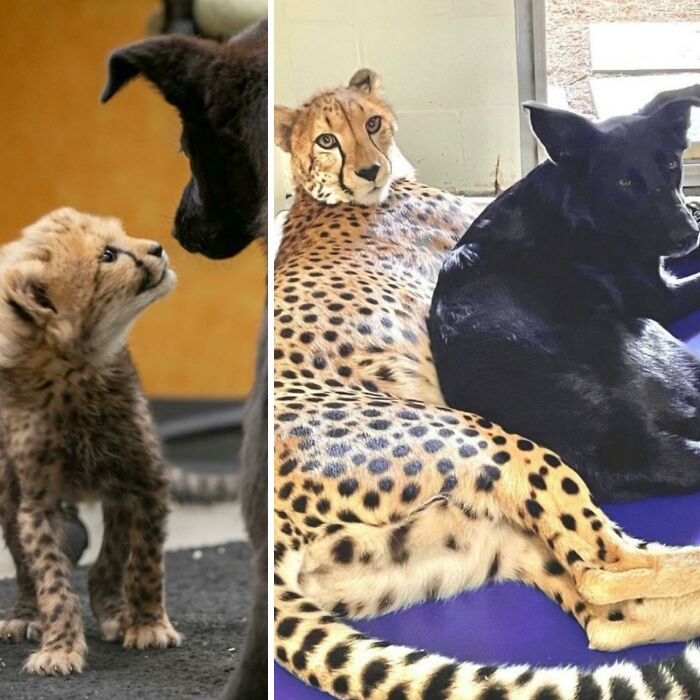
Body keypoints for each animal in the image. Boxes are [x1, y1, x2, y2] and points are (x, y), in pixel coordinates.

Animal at [0, 207, 181, 676]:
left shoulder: (146, 478)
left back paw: (116, 612)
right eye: (108, 255)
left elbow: (146, 561)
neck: (78, 365)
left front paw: (147, 624)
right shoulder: (37, 503)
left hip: (117, 486)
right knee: (24, 569)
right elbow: (49, 576)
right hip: (8, 493)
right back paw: (24, 616)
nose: (157, 248)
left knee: (107, 564)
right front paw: (60, 646)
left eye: (120, 236)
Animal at [273, 69, 700, 699]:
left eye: (672, 165)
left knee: (608, 613)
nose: (685, 230)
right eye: (626, 181)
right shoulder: (662, 298)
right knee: (606, 571)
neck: (571, 199)